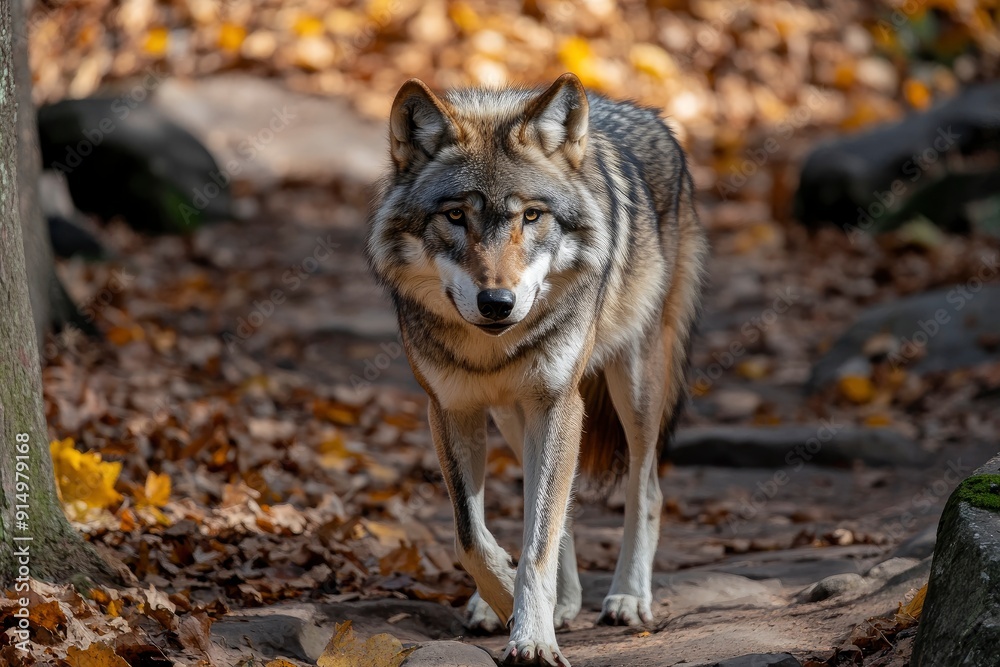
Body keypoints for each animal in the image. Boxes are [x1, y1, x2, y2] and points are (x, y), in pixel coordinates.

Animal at [366, 73, 708, 665]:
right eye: (455, 215)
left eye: (531, 215)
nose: (497, 302)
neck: (491, 349)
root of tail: (650, 115)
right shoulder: (451, 409)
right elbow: (473, 535)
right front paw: (507, 603)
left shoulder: (557, 401)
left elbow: (538, 539)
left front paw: (532, 635)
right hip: (512, 416)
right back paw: (562, 603)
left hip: (634, 386)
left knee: (646, 490)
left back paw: (627, 597)